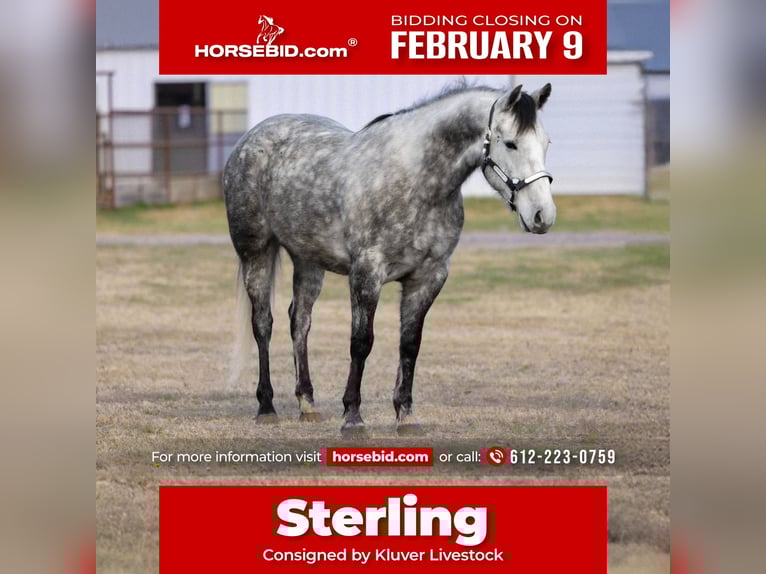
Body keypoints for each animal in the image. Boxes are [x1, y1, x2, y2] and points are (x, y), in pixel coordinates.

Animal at [223, 83, 556, 434]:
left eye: (546, 142)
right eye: (511, 143)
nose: (542, 216)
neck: (416, 181)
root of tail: (251, 139)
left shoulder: (428, 277)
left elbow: (409, 344)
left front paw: (406, 415)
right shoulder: (367, 273)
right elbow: (361, 342)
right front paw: (352, 417)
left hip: (308, 260)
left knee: (299, 321)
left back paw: (307, 404)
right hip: (256, 252)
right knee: (263, 324)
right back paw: (266, 406)